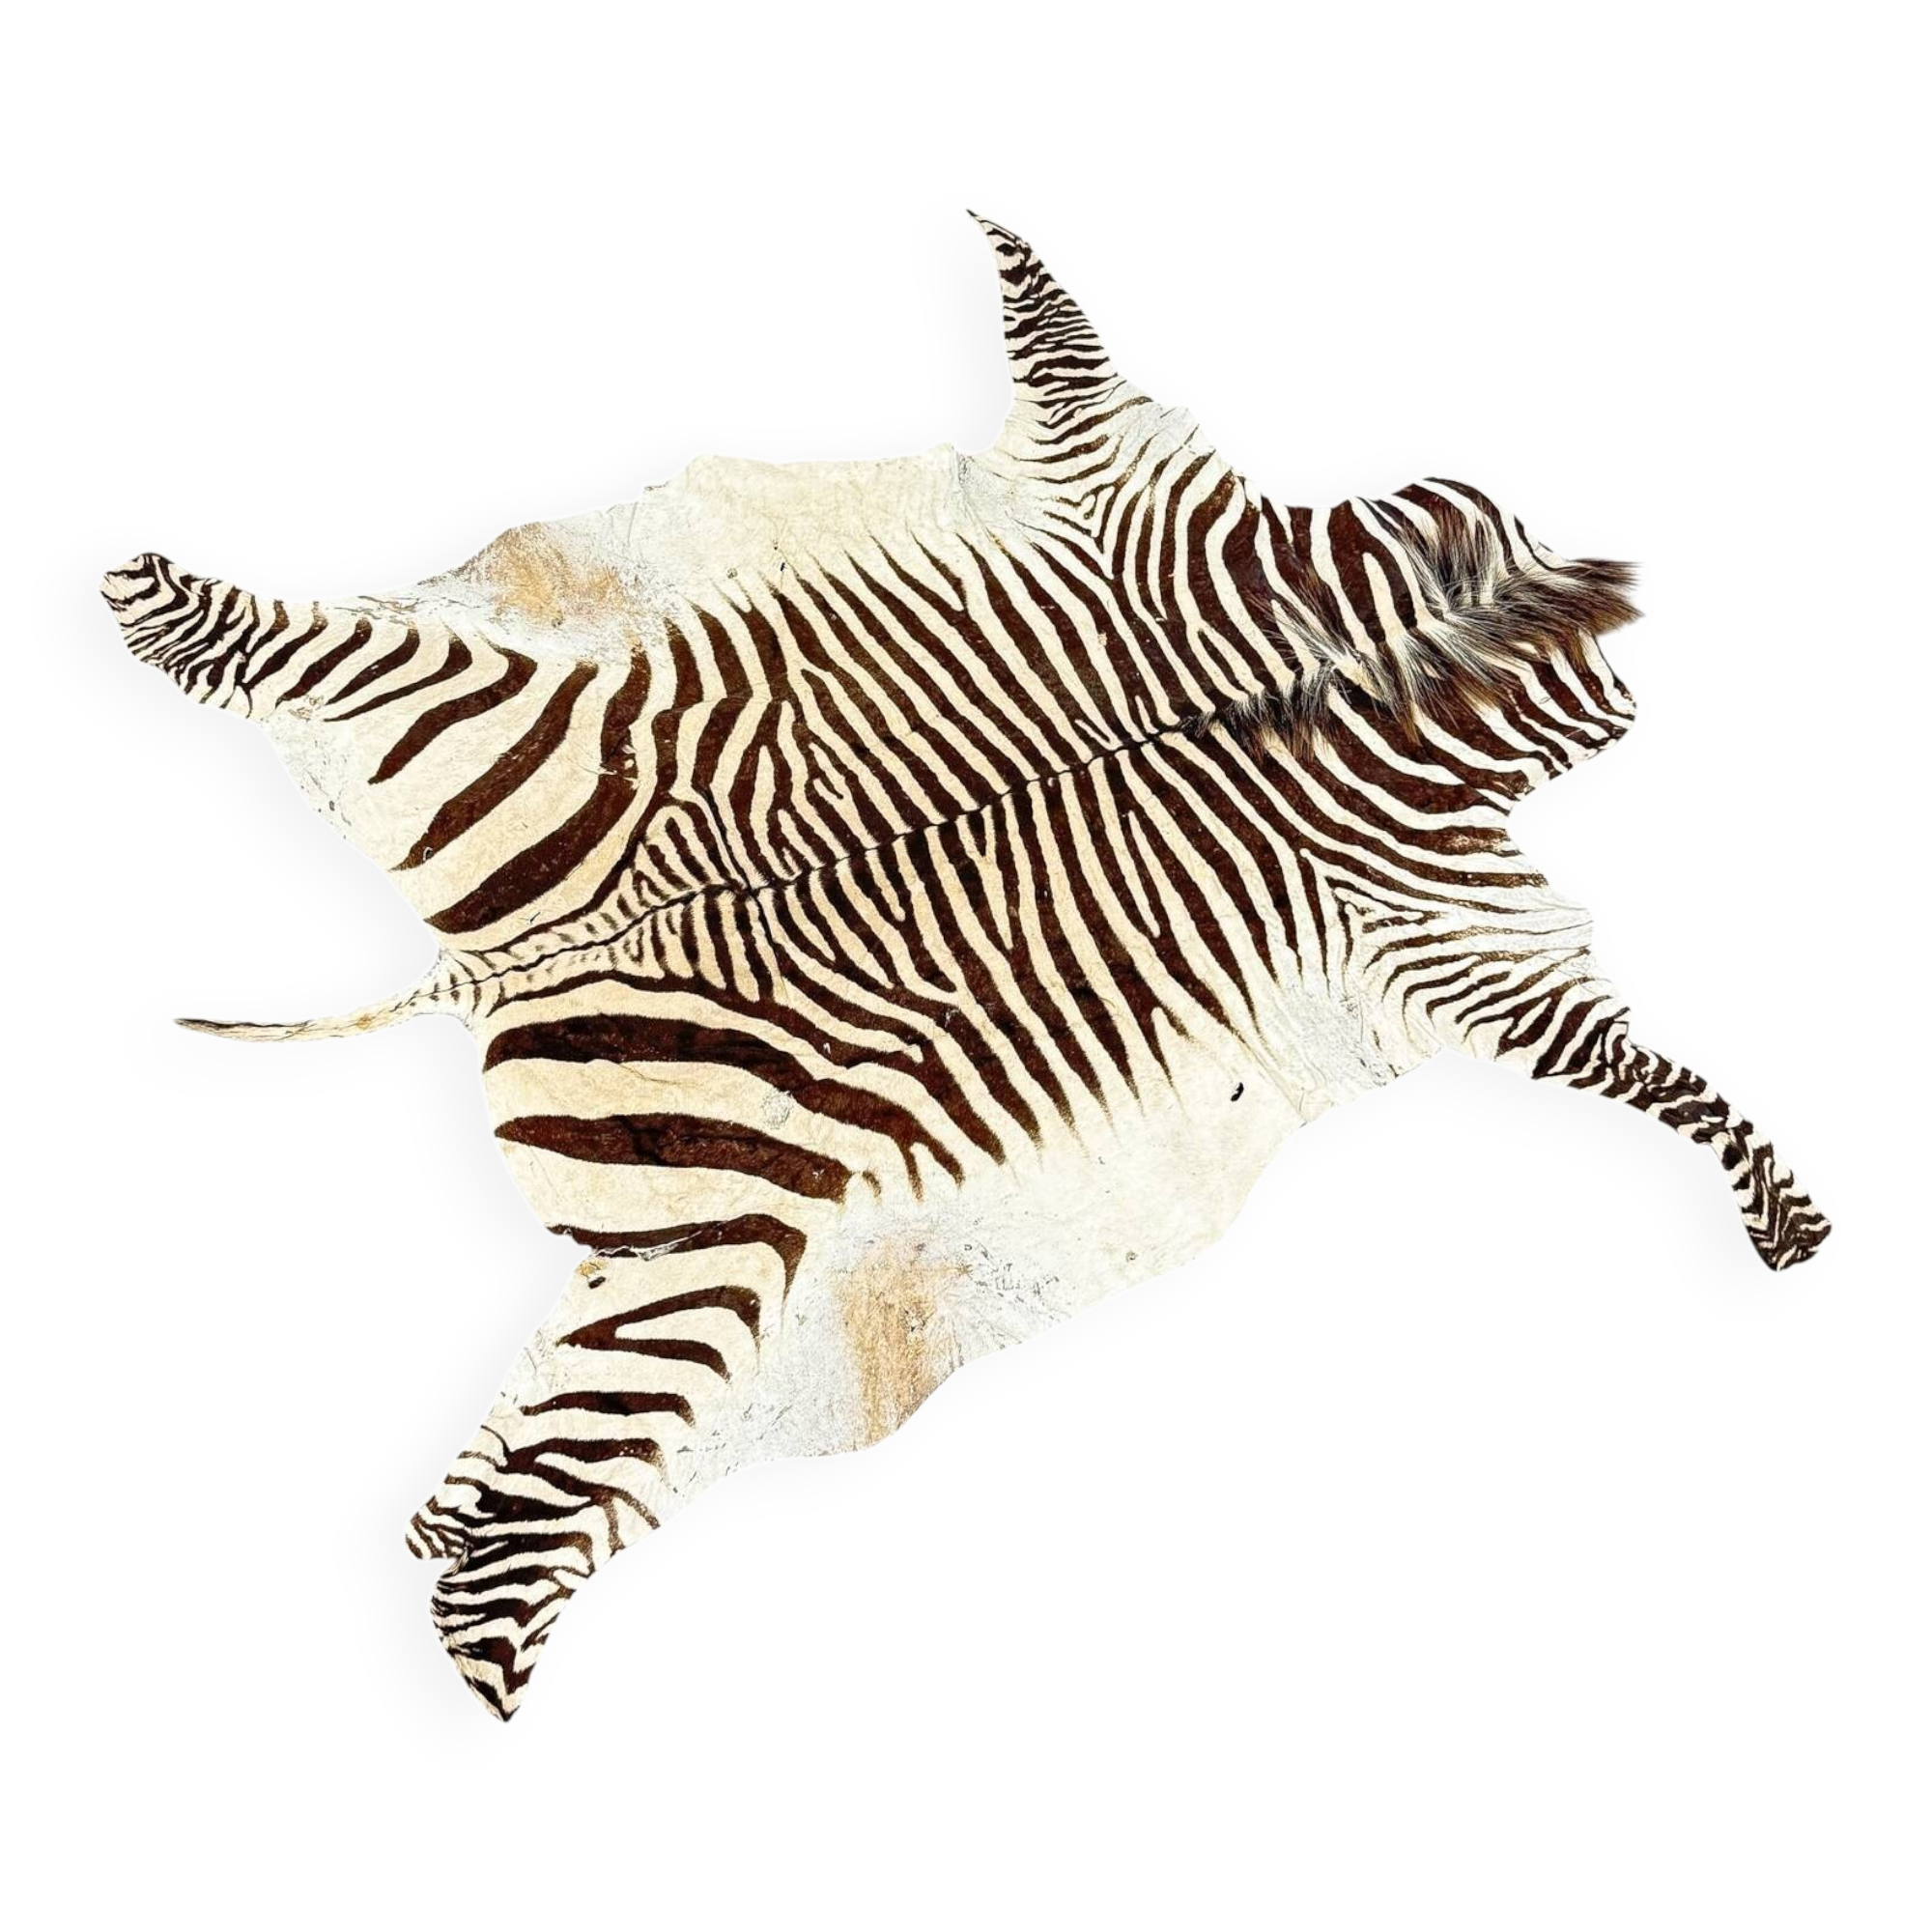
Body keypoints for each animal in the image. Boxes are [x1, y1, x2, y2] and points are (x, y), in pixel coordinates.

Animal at [98, 206, 1834, 1725]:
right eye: (1470, 505)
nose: (1630, 578)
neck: (1365, 662)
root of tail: (495, 969)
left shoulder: (1448, 926)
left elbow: (1643, 1065)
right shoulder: (1454, 916)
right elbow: (1656, 1069)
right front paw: (1795, 1230)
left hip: (706, 1227)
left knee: (535, 1463)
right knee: (520, 1534)